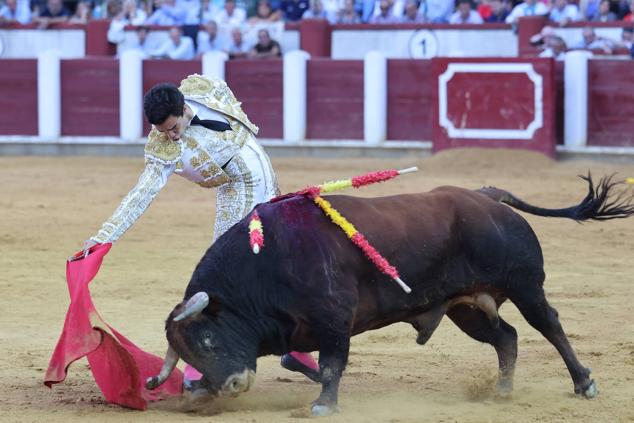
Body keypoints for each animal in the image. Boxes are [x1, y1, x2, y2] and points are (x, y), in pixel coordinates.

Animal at [144, 176, 632, 418]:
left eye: (208, 340)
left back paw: (584, 383)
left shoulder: (333, 319)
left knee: (548, 325)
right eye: (193, 351)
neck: (265, 264)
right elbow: (295, 360)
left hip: (525, 286)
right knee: (507, 337)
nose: (231, 384)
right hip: (468, 308)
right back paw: (502, 392)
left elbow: (331, 363)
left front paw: (324, 405)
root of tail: (485, 196)